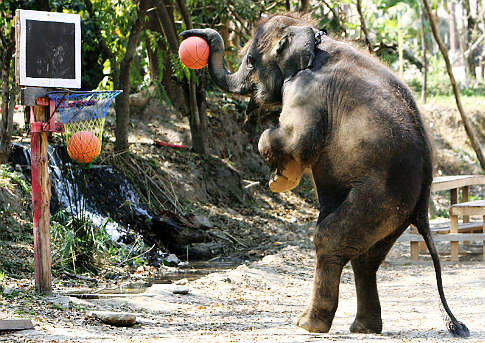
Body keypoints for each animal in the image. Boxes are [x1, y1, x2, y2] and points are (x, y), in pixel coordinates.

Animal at [180, 14, 466, 338]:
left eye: (251, 61)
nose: (190, 36)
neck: (312, 37)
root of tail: (424, 198)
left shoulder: (306, 90)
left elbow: (295, 139)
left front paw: (280, 180)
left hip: (381, 195)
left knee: (330, 238)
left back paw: (308, 324)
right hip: (396, 214)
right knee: (366, 258)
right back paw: (363, 328)